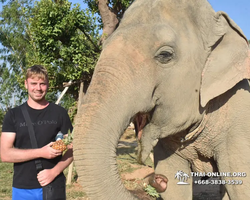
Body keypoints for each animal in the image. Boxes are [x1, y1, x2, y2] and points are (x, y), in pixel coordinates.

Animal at [73, 0, 250, 199]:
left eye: (165, 55)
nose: (158, 180)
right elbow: (174, 186)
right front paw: (169, 180)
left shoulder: (239, 121)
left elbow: (242, 188)